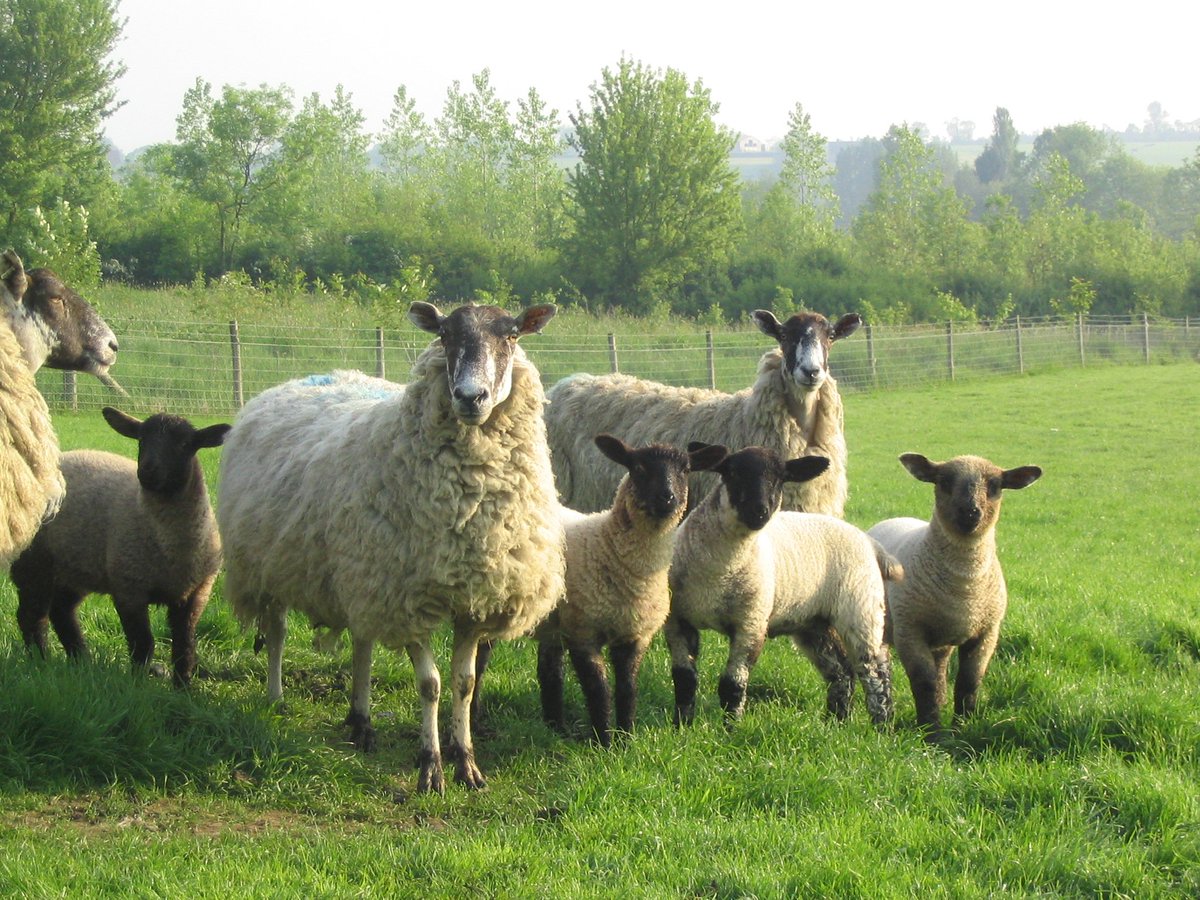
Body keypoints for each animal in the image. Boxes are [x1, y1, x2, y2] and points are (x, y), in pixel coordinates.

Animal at [10, 407, 230, 686]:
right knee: (32, 616)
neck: (170, 544)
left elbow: (185, 645)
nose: (147, 471)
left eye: (184, 444)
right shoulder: (129, 587)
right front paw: (138, 683)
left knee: (61, 610)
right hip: (34, 562)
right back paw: (42, 661)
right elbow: (143, 643)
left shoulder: (197, 591)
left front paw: (183, 687)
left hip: (74, 567)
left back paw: (81, 660)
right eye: (141, 440)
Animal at [217, 301, 565, 794]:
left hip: (361, 574)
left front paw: (466, 762)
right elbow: (430, 685)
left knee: (362, 642)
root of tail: (306, 378)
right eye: (444, 335)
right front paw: (431, 766)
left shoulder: (474, 600)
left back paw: (361, 720)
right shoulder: (407, 599)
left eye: (513, 335)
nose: (470, 397)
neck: (469, 506)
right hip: (271, 567)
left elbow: (464, 683)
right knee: (278, 631)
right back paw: (276, 698)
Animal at [535, 435, 727, 747]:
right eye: (638, 468)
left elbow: (627, 688)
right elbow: (598, 689)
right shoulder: (583, 632)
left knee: (549, 670)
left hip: (553, 624)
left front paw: (625, 738)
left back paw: (557, 728)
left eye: (686, 470)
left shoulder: (634, 634)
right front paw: (603, 742)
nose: (667, 498)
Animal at [666, 445, 901, 727]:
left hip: (861, 608)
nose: (760, 510)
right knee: (841, 670)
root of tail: (870, 542)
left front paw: (730, 729)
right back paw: (835, 722)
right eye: (732, 472)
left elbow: (732, 685)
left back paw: (882, 725)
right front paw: (681, 726)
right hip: (814, 623)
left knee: (875, 669)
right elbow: (684, 680)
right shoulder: (677, 620)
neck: (719, 574)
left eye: (780, 479)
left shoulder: (751, 623)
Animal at [868, 453, 1043, 738]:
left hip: (941, 641)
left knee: (940, 672)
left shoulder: (986, 632)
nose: (970, 512)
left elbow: (968, 682)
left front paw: (963, 726)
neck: (965, 588)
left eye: (995, 485)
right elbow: (923, 683)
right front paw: (932, 732)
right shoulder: (910, 631)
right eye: (945, 481)